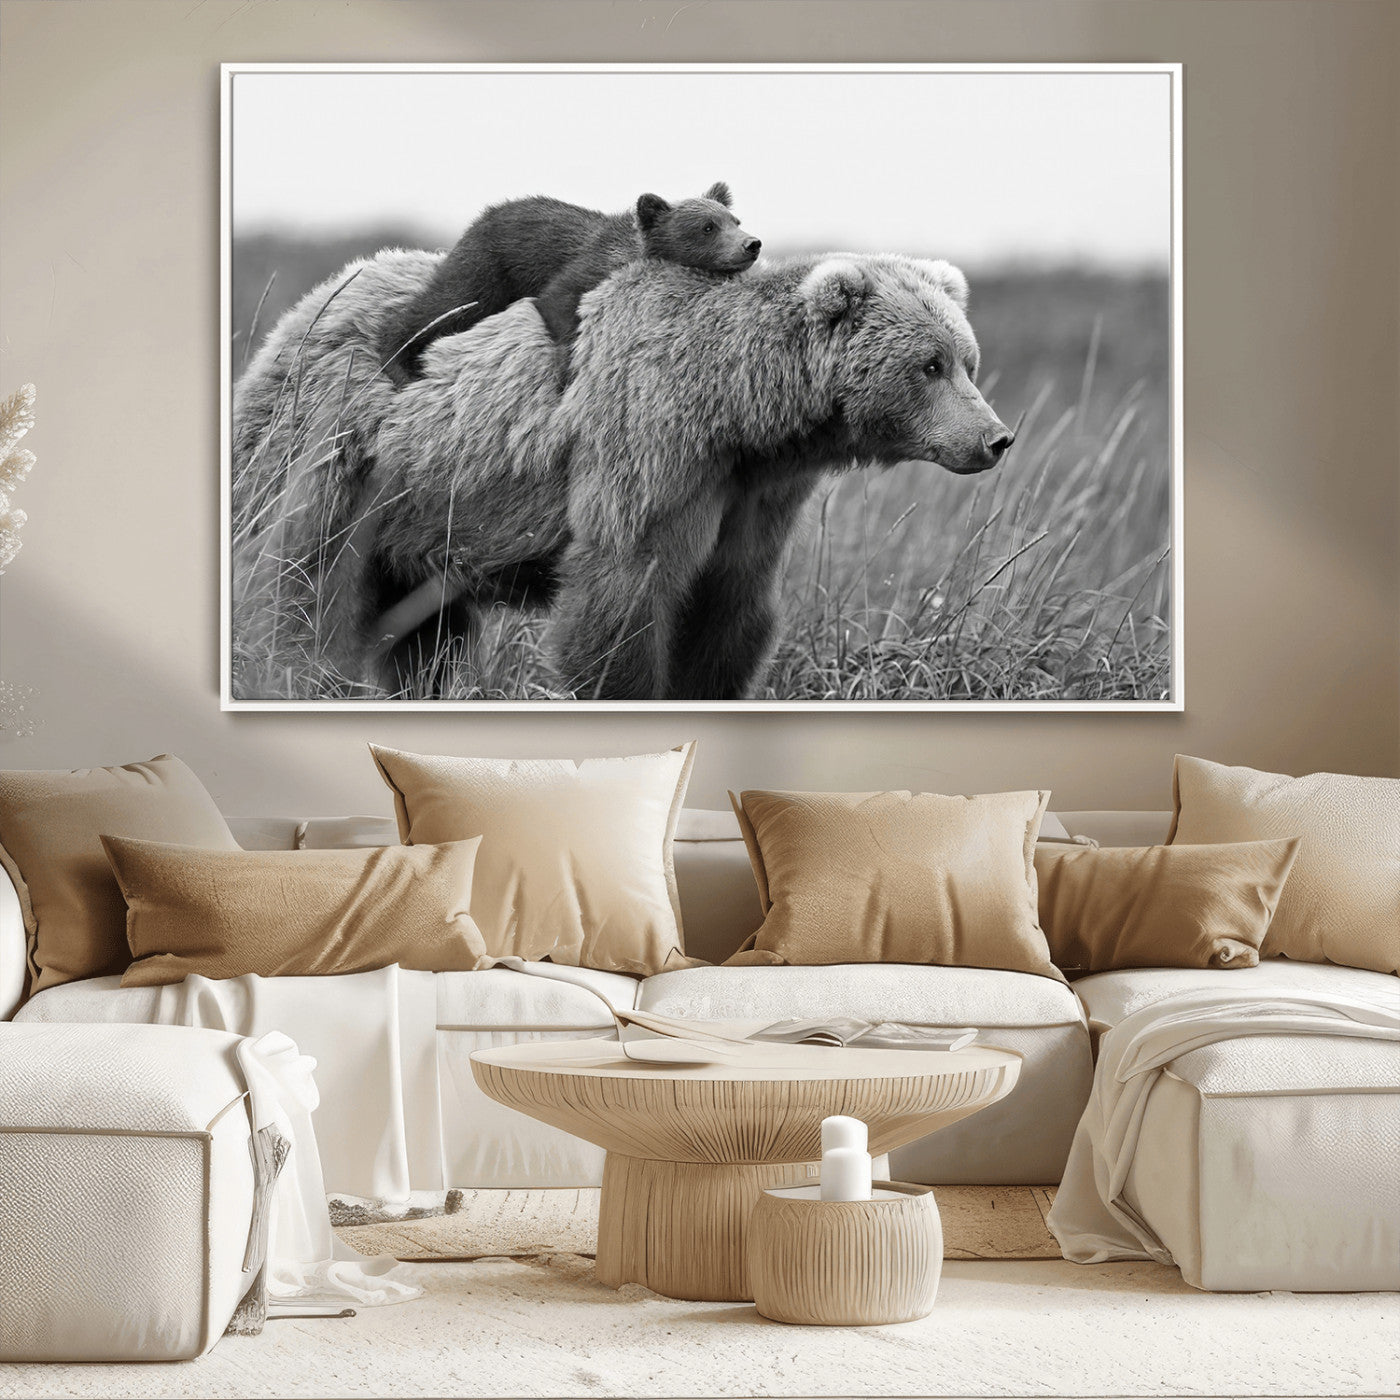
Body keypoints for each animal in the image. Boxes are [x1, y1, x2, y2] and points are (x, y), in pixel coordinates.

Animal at [230, 248, 1014, 702]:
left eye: (967, 359)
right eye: (930, 364)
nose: (996, 437)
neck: (740, 412)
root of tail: (314, 298)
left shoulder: (753, 496)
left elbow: (730, 608)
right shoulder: (649, 448)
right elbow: (623, 595)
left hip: (423, 512)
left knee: (424, 629)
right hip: (337, 450)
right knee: (302, 578)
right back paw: (290, 671)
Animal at [376, 182, 760, 385]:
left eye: (735, 220)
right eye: (707, 227)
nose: (751, 244)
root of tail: (483, 215)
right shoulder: (587, 266)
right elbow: (558, 300)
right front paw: (566, 369)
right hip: (488, 267)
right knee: (445, 305)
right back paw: (398, 361)